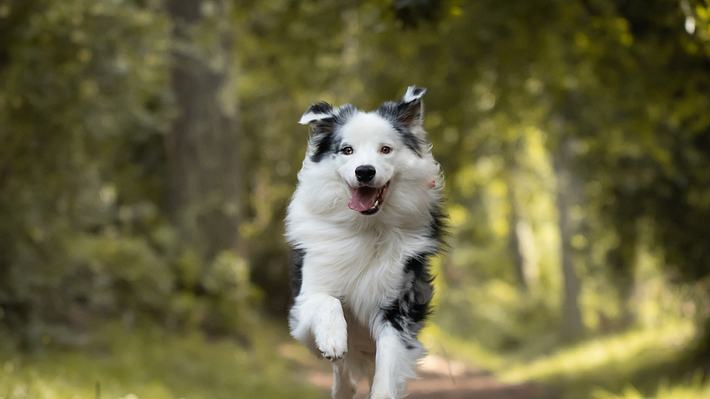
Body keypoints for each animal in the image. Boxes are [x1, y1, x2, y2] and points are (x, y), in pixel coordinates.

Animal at [286, 86, 444, 398]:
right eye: (347, 150)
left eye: (386, 149)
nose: (365, 171)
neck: (367, 227)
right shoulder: (306, 301)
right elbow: (327, 301)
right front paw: (333, 339)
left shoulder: (397, 309)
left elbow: (387, 369)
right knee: (343, 374)